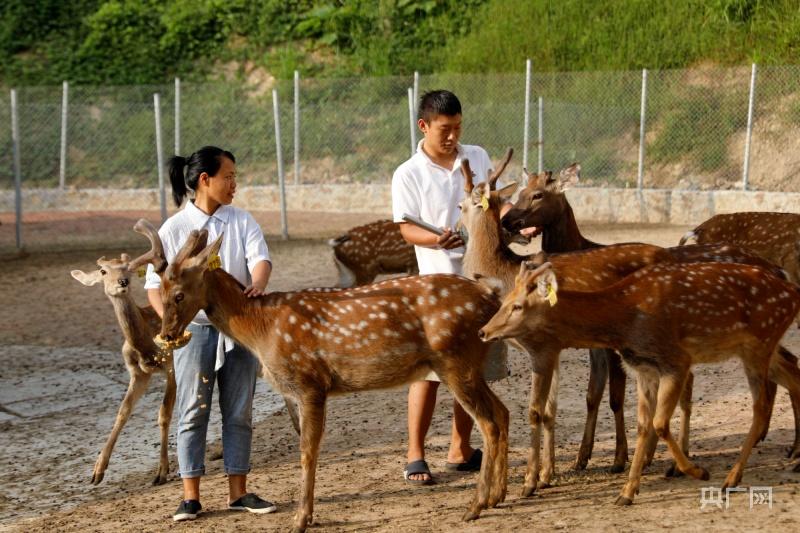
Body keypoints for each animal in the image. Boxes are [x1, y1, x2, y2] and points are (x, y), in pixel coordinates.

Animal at [70, 218, 180, 484]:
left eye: (128, 269)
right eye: (103, 271)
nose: (122, 282)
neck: (145, 346)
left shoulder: (171, 365)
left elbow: (164, 413)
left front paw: (162, 471)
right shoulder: (138, 374)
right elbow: (122, 411)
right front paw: (97, 471)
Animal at [138, 219, 510, 528]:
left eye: (179, 294)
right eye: (161, 290)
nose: (167, 334)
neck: (262, 328)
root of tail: (488, 296)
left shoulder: (310, 383)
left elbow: (307, 452)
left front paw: (301, 519)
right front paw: (305, 515)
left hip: (454, 360)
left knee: (489, 422)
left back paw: (476, 506)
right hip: (469, 364)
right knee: (502, 412)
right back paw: (498, 497)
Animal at [478, 258, 800, 502]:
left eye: (518, 306)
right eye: (505, 300)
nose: (483, 331)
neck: (625, 320)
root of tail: (793, 292)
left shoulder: (676, 361)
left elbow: (659, 423)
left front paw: (697, 471)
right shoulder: (645, 369)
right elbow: (644, 425)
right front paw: (627, 493)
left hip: (760, 343)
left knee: (761, 408)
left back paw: (732, 478)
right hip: (759, 349)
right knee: (793, 375)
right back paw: (794, 457)